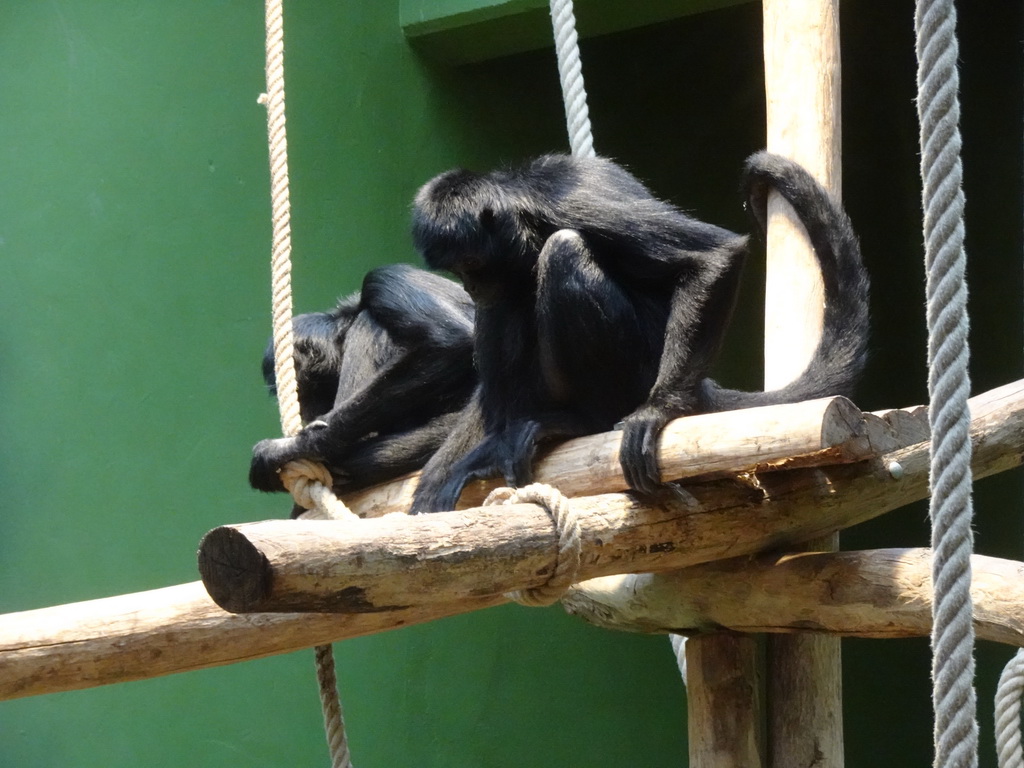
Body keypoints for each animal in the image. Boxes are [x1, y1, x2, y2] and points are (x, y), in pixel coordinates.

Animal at [247, 262, 475, 495]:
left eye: (301, 393)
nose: (306, 411)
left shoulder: (385, 277)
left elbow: (451, 342)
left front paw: (292, 447)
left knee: (368, 324)